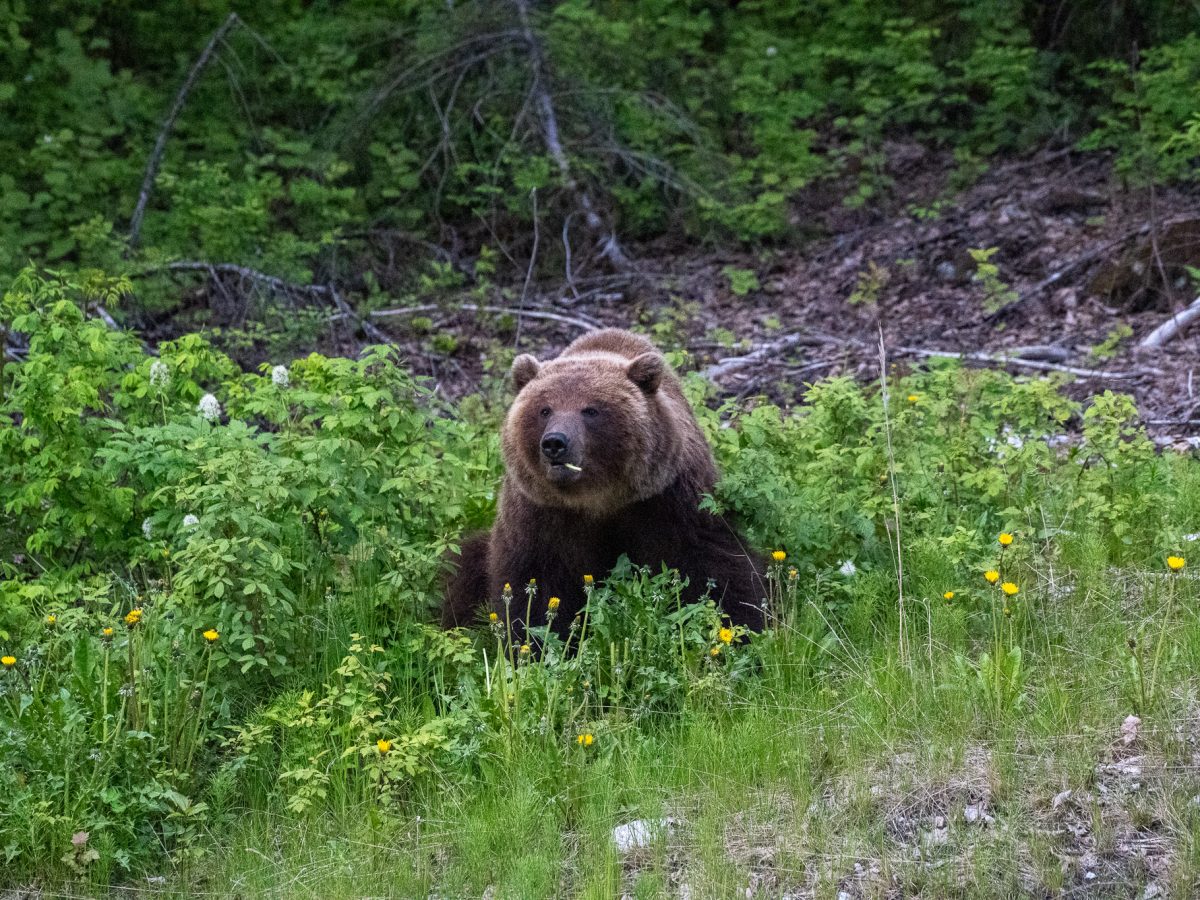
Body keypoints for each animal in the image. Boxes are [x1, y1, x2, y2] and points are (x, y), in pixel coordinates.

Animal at [440, 328, 766, 638]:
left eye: (590, 410)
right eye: (544, 409)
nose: (555, 443)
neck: (600, 499)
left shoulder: (669, 499)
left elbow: (712, 564)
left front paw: (743, 625)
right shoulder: (541, 513)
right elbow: (535, 581)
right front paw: (534, 640)